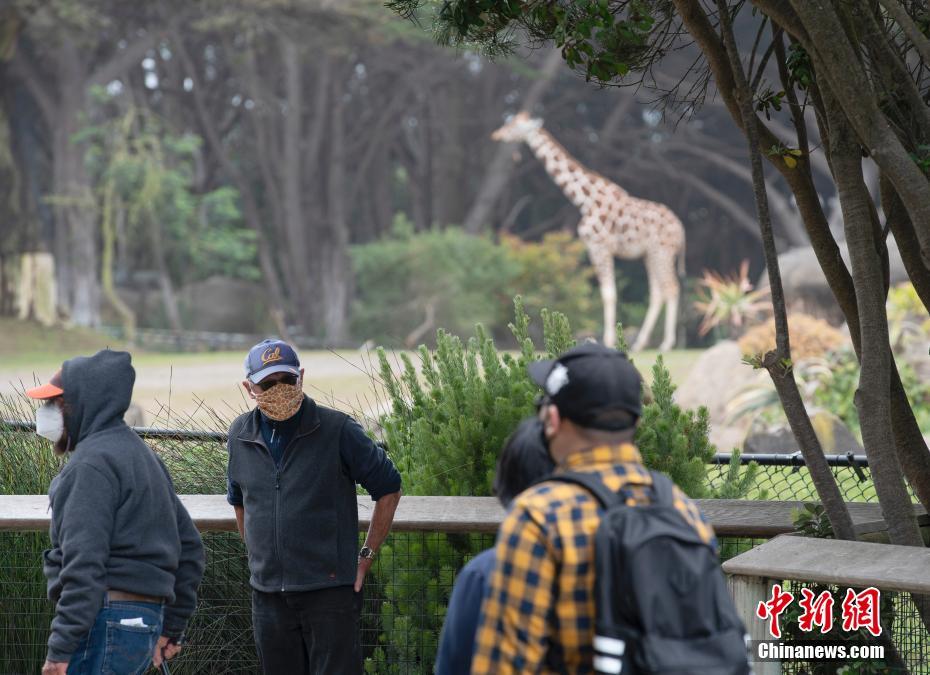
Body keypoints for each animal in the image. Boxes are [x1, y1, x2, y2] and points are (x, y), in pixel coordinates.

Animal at [492, 111, 680, 352]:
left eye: (515, 125)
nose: (497, 134)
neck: (585, 199)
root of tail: (681, 230)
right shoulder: (598, 248)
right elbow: (609, 293)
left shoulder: (599, 246)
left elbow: (608, 294)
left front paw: (608, 340)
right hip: (650, 254)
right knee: (658, 292)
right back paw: (641, 343)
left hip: (662, 251)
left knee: (671, 288)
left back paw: (666, 344)